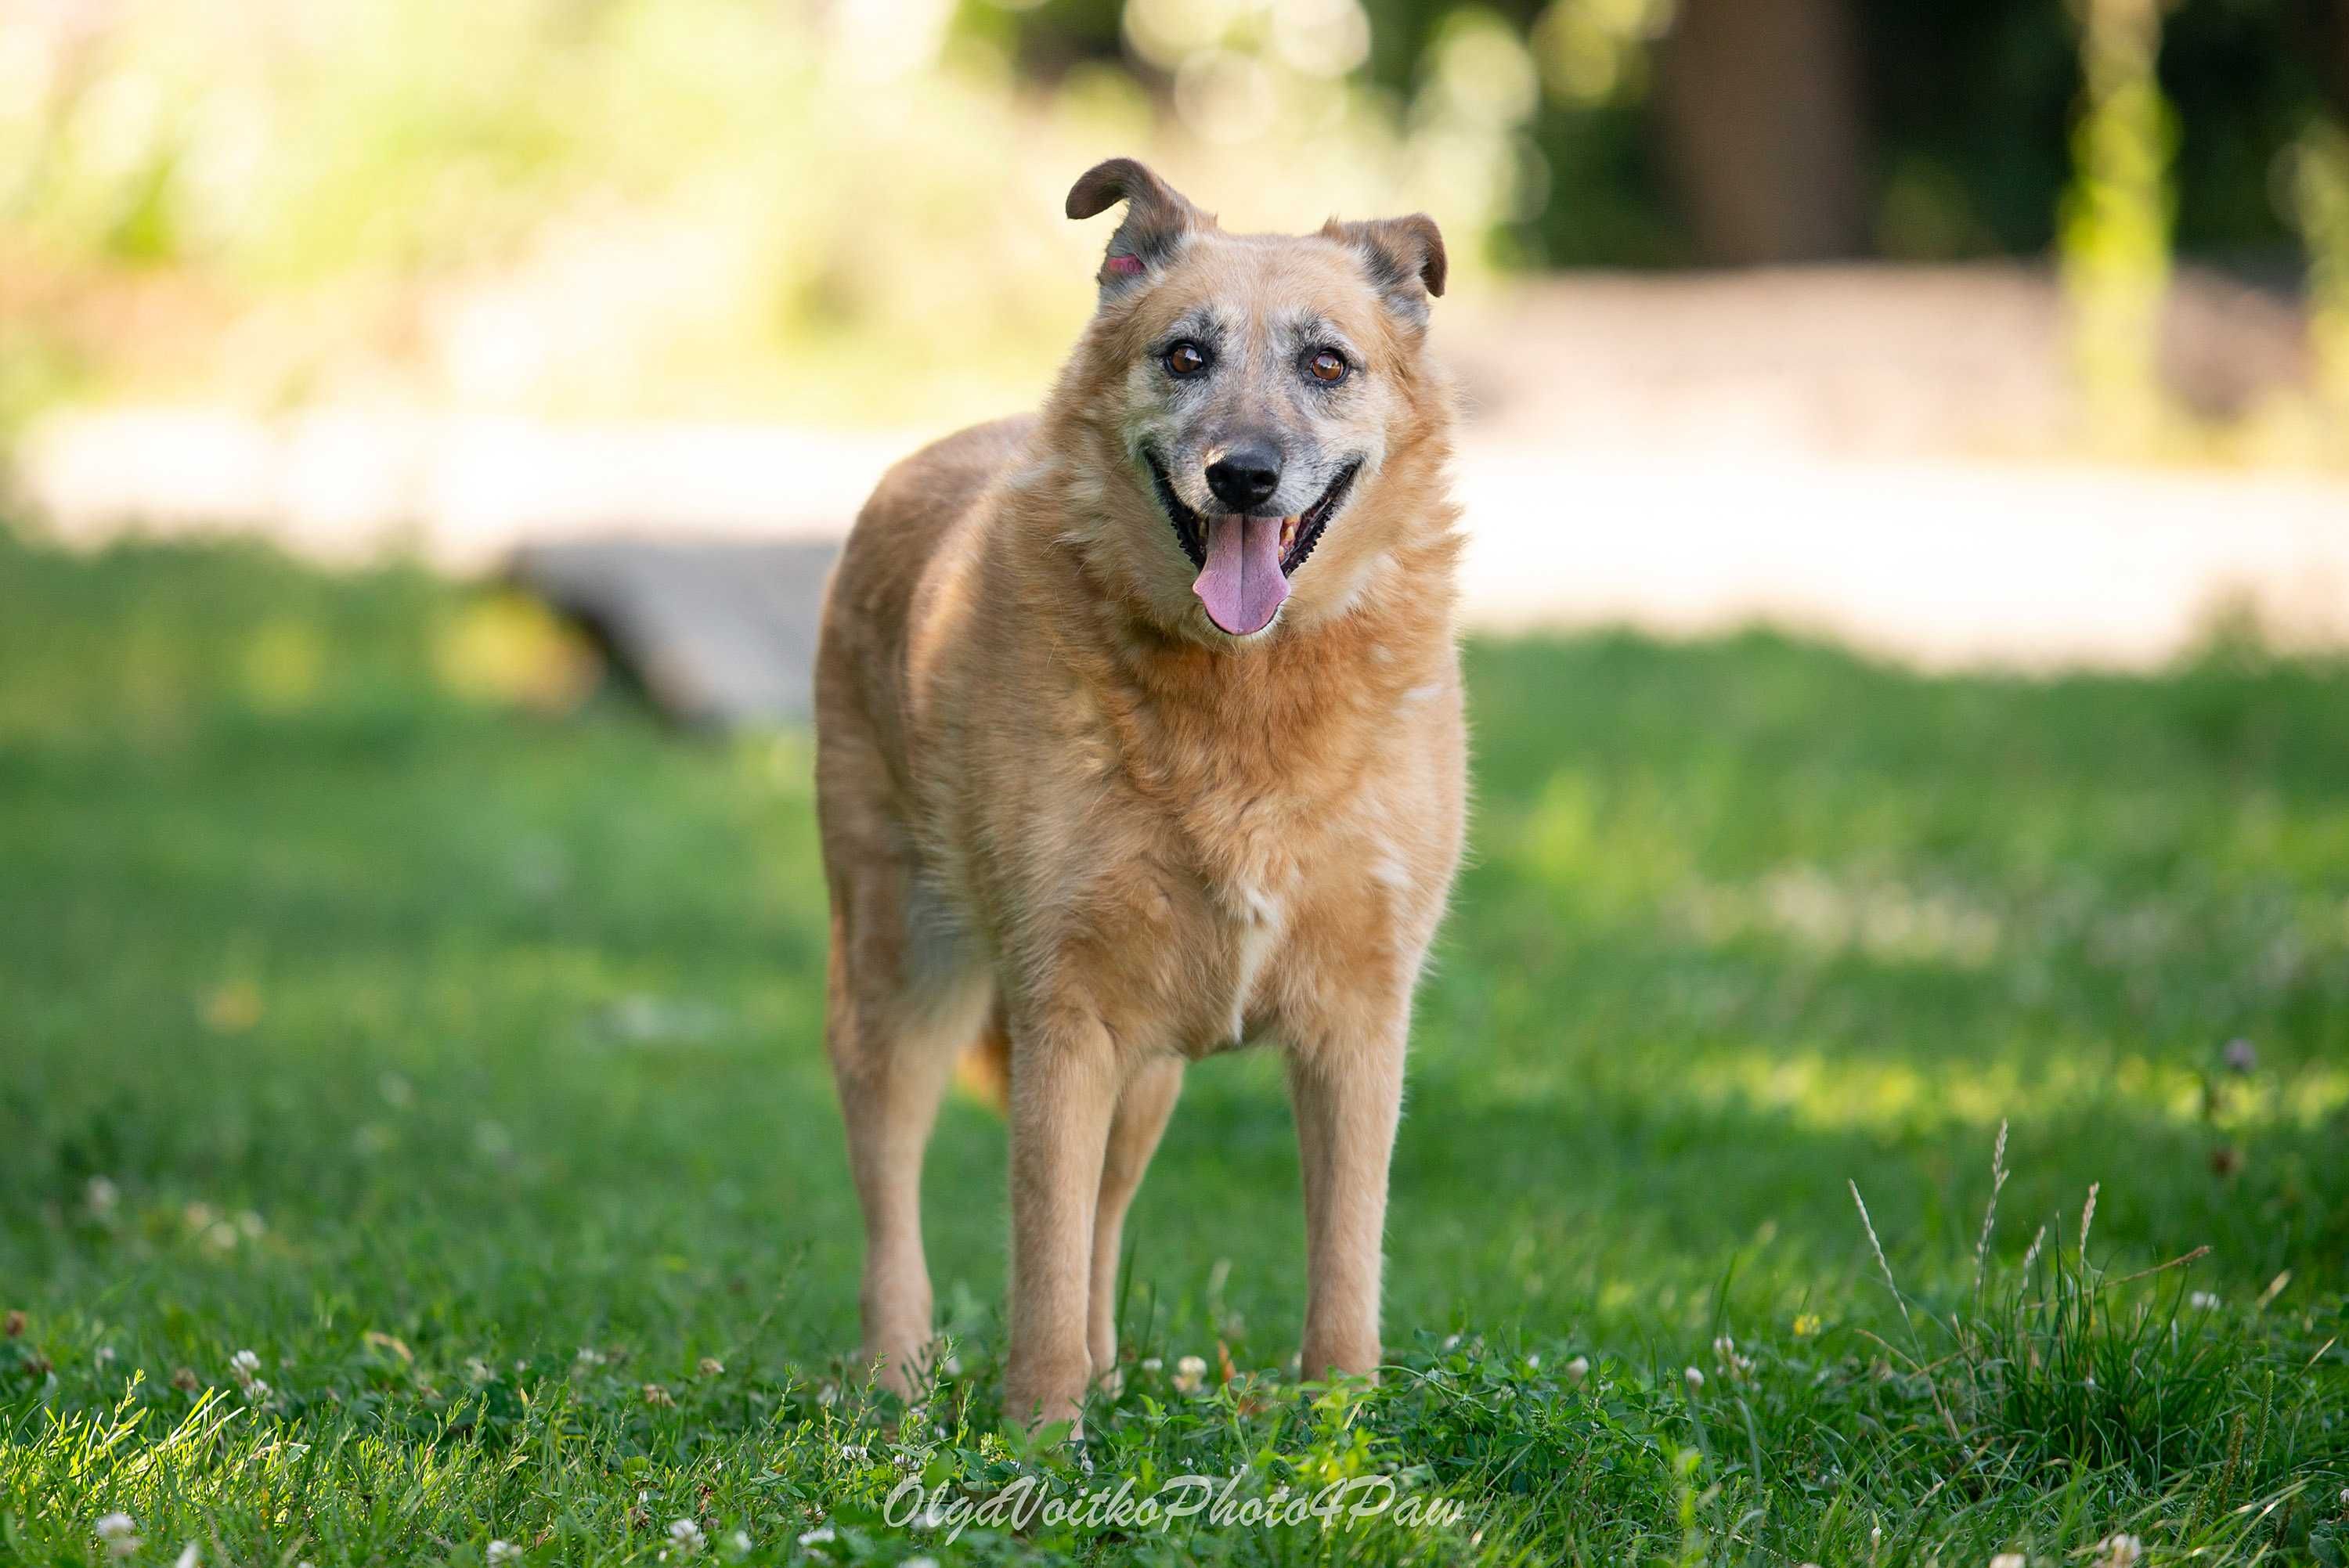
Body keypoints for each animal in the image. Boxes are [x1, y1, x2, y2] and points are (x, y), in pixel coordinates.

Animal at [817, 161, 1456, 1436]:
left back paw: (1113, 1376)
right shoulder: (1063, 1016)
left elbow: (1343, 1270)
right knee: (893, 1192)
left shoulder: (1359, 1025)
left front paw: (1340, 1440)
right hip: (902, 981)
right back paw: (896, 1385)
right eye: (1184, 355)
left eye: (1328, 363)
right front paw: (1039, 1440)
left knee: (1107, 1220)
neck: (1247, 700)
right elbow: (1042, 1260)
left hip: (1147, 1073)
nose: (1243, 475)